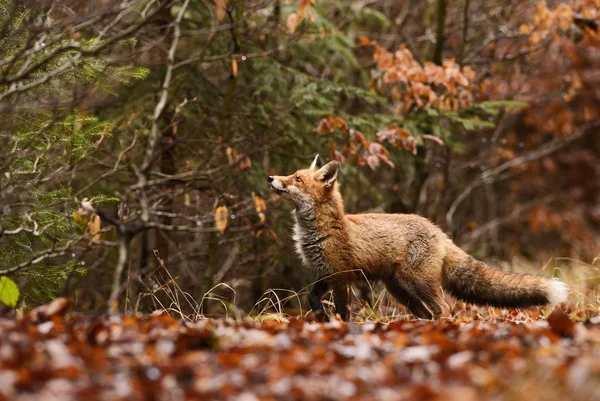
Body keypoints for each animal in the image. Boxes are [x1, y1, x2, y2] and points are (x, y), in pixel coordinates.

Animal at [270, 154, 568, 318]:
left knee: (442, 309)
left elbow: (343, 311)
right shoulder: (326, 274)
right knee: (426, 313)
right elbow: (312, 298)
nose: (271, 177)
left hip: (416, 283)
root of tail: (439, 231)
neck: (322, 230)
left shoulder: (342, 276)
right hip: (400, 290)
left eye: (297, 179)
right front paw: (320, 315)